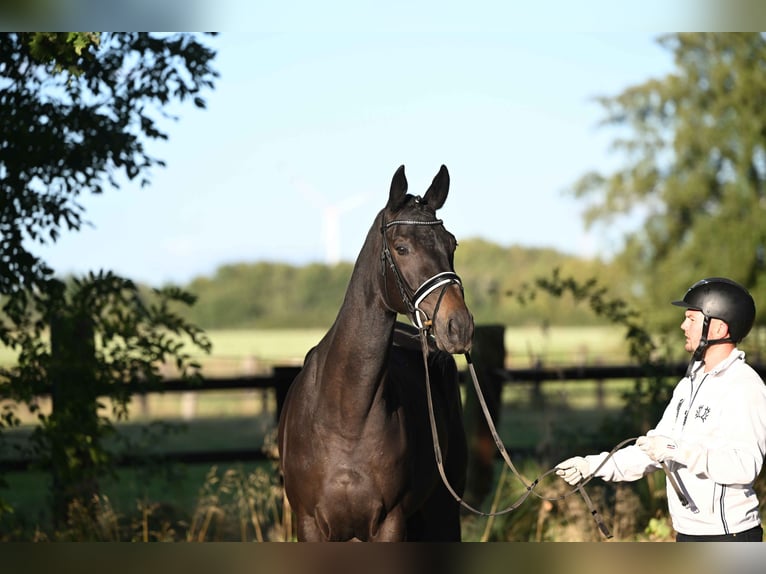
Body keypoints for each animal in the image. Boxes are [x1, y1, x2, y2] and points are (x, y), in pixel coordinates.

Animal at [280, 164, 476, 544]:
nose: (458, 326)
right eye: (401, 247)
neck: (345, 414)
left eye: (452, 243)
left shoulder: (390, 523)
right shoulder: (310, 524)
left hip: (442, 508)